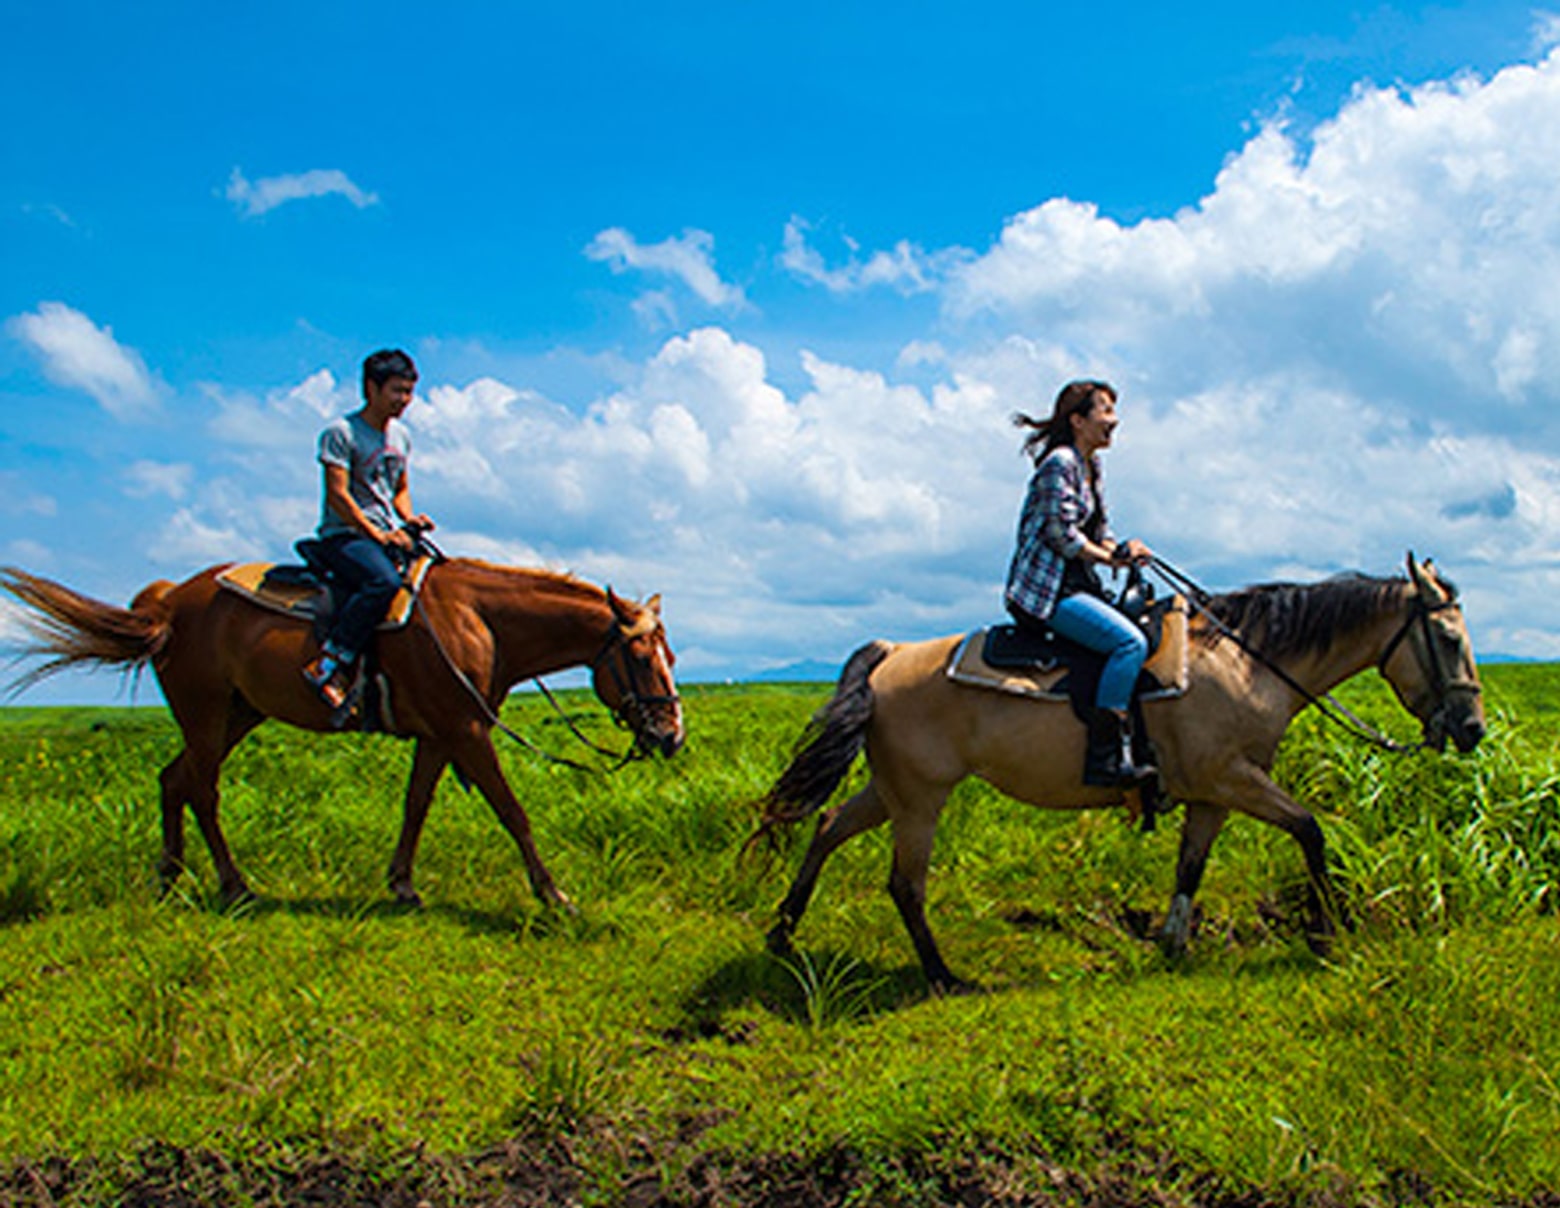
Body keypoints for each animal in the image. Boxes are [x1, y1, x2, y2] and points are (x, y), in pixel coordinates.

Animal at [0, 558, 683, 911]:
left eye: (672, 655)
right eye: (642, 657)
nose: (672, 736)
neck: (478, 621)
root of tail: (166, 605)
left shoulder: (441, 733)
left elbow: (415, 805)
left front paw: (402, 884)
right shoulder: (465, 729)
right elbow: (511, 810)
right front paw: (552, 892)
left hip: (238, 712)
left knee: (174, 780)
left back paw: (171, 878)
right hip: (205, 711)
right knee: (202, 789)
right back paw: (232, 884)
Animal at [755, 558, 1485, 992]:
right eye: (1450, 640)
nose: (1473, 729)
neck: (1249, 662)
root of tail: (892, 653)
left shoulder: (1213, 795)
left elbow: (1191, 867)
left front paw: (1173, 943)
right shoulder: (1234, 779)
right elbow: (1311, 831)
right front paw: (1329, 931)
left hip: (894, 790)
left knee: (827, 826)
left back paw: (782, 935)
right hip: (920, 800)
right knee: (905, 884)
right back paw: (942, 975)